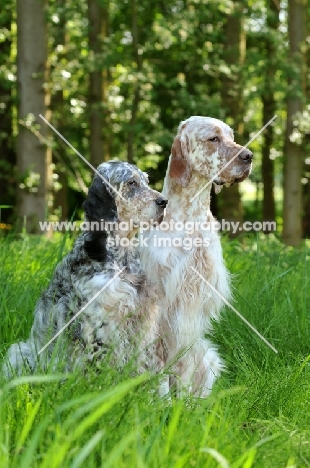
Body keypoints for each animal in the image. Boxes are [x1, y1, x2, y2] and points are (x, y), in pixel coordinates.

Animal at [3, 161, 167, 376]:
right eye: (131, 182)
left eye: (146, 181)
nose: (164, 201)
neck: (120, 256)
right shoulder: (99, 320)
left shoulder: (141, 318)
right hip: (21, 351)